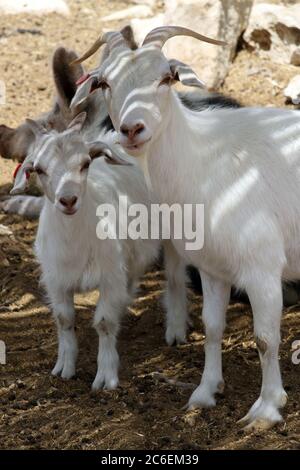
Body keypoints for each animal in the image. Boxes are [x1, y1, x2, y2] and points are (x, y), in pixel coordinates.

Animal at [11, 113, 189, 390]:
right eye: (39, 169)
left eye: (85, 163)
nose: (68, 200)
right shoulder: (57, 280)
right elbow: (64, 319)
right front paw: (64, 367)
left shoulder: (108, 278)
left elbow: (104, 323)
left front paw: (106, 376)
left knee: (175, 277)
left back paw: (176, 330)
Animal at [71, 25, 300, 430]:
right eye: (104, 83)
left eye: (166, 78)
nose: (132, 129)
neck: (205, 159)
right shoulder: (212, 268)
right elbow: (212, 328)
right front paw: (205, 393)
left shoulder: (262, 268)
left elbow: (265, 338)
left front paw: (267, 408)